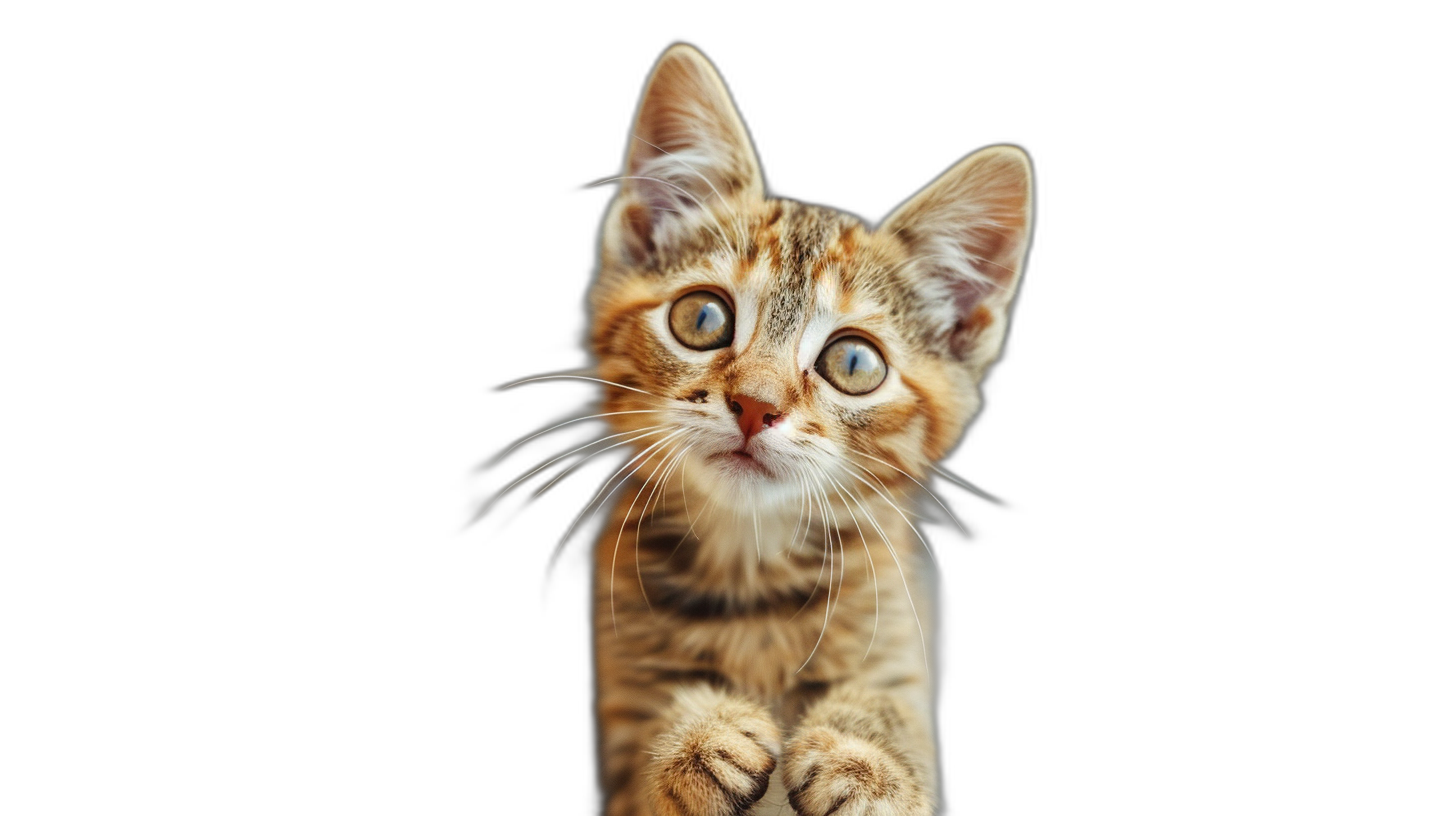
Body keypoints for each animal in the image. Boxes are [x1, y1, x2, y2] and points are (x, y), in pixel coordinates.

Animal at [562, 46, 1030, 816]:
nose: (755, 404)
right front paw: (693, 739)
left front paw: (865, 761)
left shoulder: (898, 639)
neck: (753, 576)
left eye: (852, 363)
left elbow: (897, 736)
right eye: (702, 318)